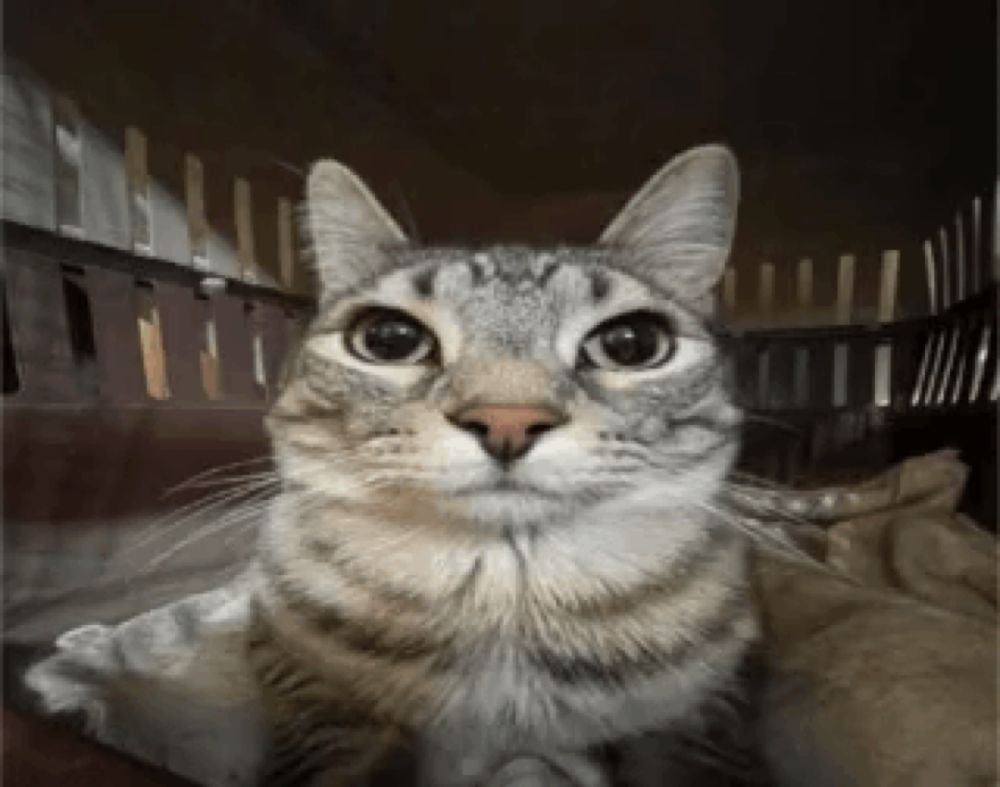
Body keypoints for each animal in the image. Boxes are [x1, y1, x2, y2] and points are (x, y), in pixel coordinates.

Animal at [246, 145, 752, 784]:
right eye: (389, 338)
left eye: (632, 344)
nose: (507, 420)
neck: (505, 598)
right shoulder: (293, 666)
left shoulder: (707, 709)